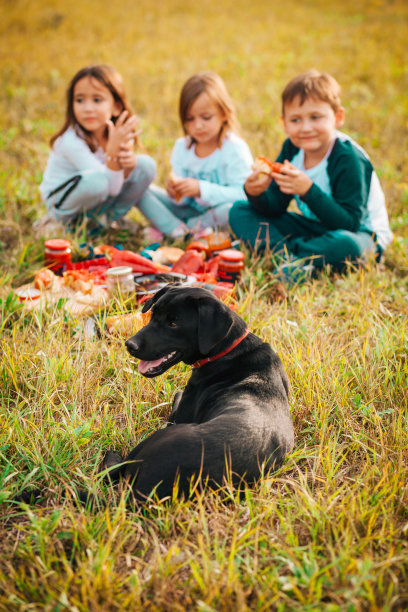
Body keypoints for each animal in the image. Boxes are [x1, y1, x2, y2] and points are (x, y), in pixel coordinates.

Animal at [102, 286, 294, 502]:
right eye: (152, 315)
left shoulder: (178, 416)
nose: (130, 344)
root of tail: (140, 493)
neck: (229, 350)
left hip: (156, 438)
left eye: (173, 323)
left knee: (110, 472)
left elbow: (177, 398)